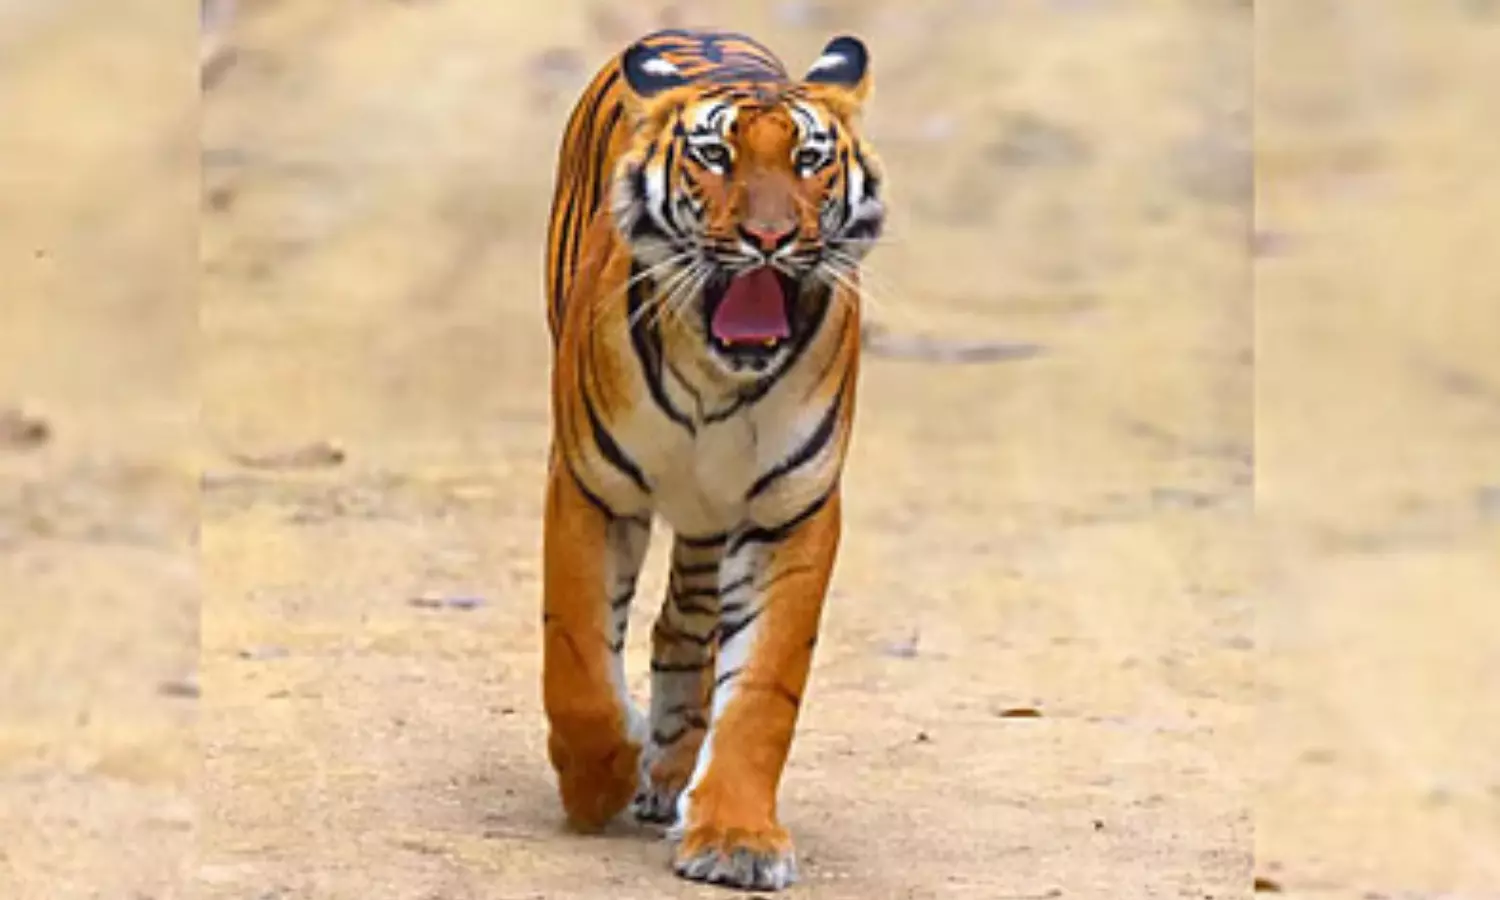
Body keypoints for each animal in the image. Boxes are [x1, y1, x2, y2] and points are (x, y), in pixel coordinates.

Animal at [539, 27, 885, 891]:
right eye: (716, 158)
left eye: (808, 161)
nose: (769, 239)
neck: (719, 381)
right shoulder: (591, 488)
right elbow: (577, 654)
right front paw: (597, 778)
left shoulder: (792, 511)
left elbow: (762, 690)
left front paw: (735, 837)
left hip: (709, 515)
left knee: (684, 625)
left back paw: (671, 776)